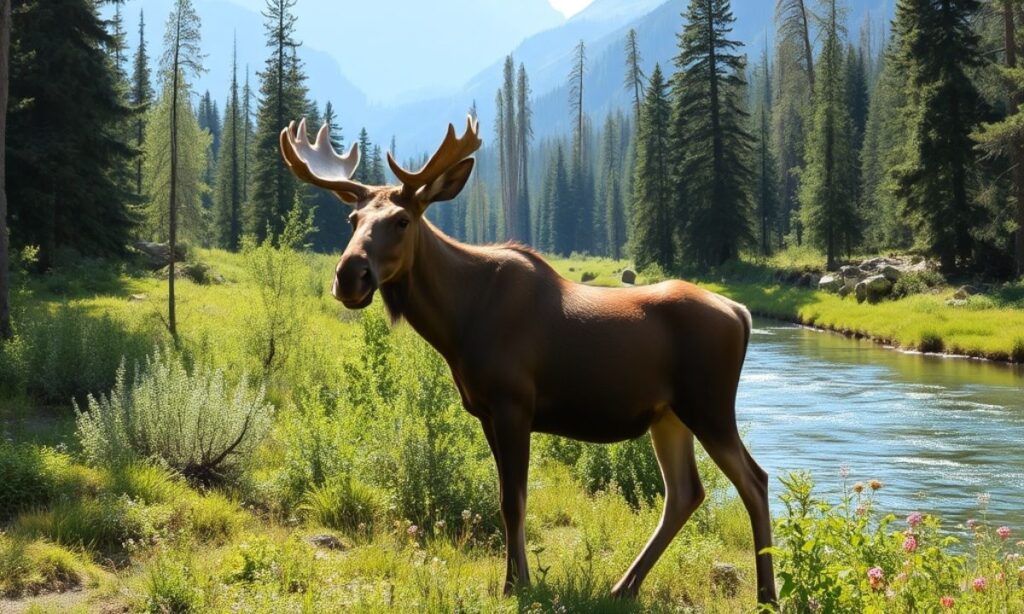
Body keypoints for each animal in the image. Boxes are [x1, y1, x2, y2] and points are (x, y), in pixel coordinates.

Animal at [279, 116, 778, 606]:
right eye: (353, 218)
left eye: (402, 220)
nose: (350, 276)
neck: (458, 323)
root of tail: (741, 312)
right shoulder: (485, 411)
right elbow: (504, 497)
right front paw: (515, 579)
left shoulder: (513, 404)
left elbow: (514, 500)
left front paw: (516, 584)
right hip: (668, 416)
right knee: (685, 492)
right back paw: (624, 586)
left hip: (709, 406)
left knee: (754, 480)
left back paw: (766, 595)